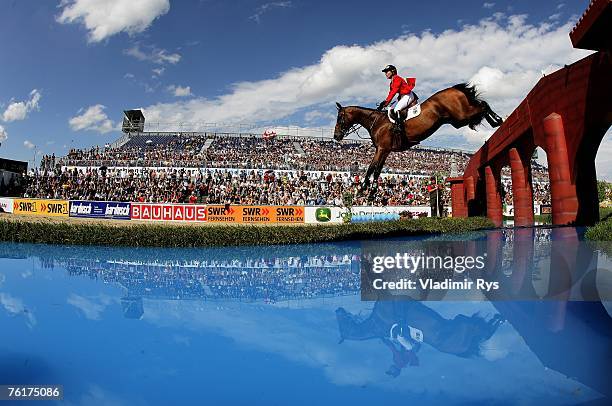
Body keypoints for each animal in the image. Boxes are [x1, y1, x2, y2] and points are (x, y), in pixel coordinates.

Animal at [334, 83, 502, 190]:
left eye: (340, 118)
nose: (336, 136)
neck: (377, 122)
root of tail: (453, 89)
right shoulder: (384, 150)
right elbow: (376, 168)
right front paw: (370, 190)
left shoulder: (382, 148)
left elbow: (372, 168)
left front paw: (365, 188)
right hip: (457, 120)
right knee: (480, 107)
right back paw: (495, 121)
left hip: (461, 115)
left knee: (483, 105)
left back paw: (497, 120)